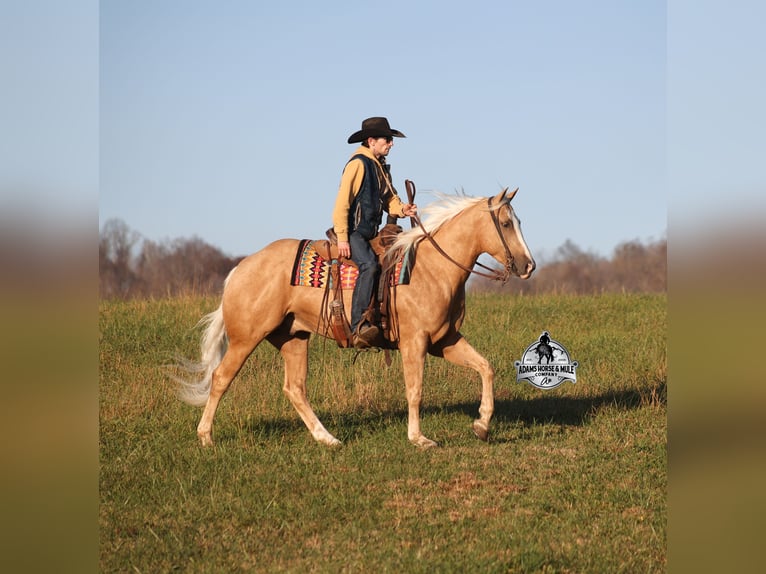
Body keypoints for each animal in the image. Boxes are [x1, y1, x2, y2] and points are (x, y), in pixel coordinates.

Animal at [177, 187, 535, 448]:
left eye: (519, 222)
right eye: (506, 224)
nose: (528, 265)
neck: (431, 267)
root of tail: (241, 267)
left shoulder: (444, 341)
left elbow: (485, 368)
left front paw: (482, 425)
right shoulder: (415, 342)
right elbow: (415, 389)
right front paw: (419, 438)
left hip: (293, 338)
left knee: (295, 389)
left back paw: (328, 439)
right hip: (245, 338)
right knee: (221, 378)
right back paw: (206, 437)